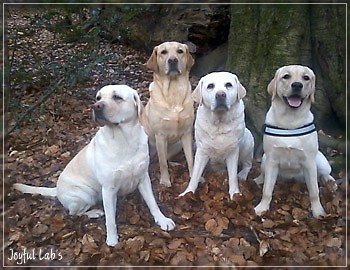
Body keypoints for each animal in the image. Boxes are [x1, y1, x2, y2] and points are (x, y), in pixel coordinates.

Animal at [13, 85, 175, 246]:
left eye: (117, 97)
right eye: (98, 97)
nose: (96, 106)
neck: (124, 140)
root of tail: (57, 190)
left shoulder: (143, 177)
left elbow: (152, 202)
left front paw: (162, 220)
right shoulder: (108, 189)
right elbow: (110, 218)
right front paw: (112, 239)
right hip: (85, 194)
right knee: (74, 213)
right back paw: (94, 212)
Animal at [140, 41, 194, 187]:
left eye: (180, 51)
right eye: (163, 52)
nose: (173, 60)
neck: (174, 92)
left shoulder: (187, 133)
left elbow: (191, 159)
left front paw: (194, 176)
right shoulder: (160, 136)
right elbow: (162, 163)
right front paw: (165, 181)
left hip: (178, 144)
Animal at [254, 65, 336, 219]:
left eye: (306, 78)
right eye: (286, 76)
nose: (297, 85)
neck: (289, 120)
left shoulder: (309, 163)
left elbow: (314, 192)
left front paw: (318, 212)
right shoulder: (272, 160)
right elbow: (267, 190)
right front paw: (262, 207)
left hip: (320, 161)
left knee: (326, 173)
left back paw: (329, 181)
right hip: (264, 159)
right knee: (263, 173)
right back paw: (259, 179)